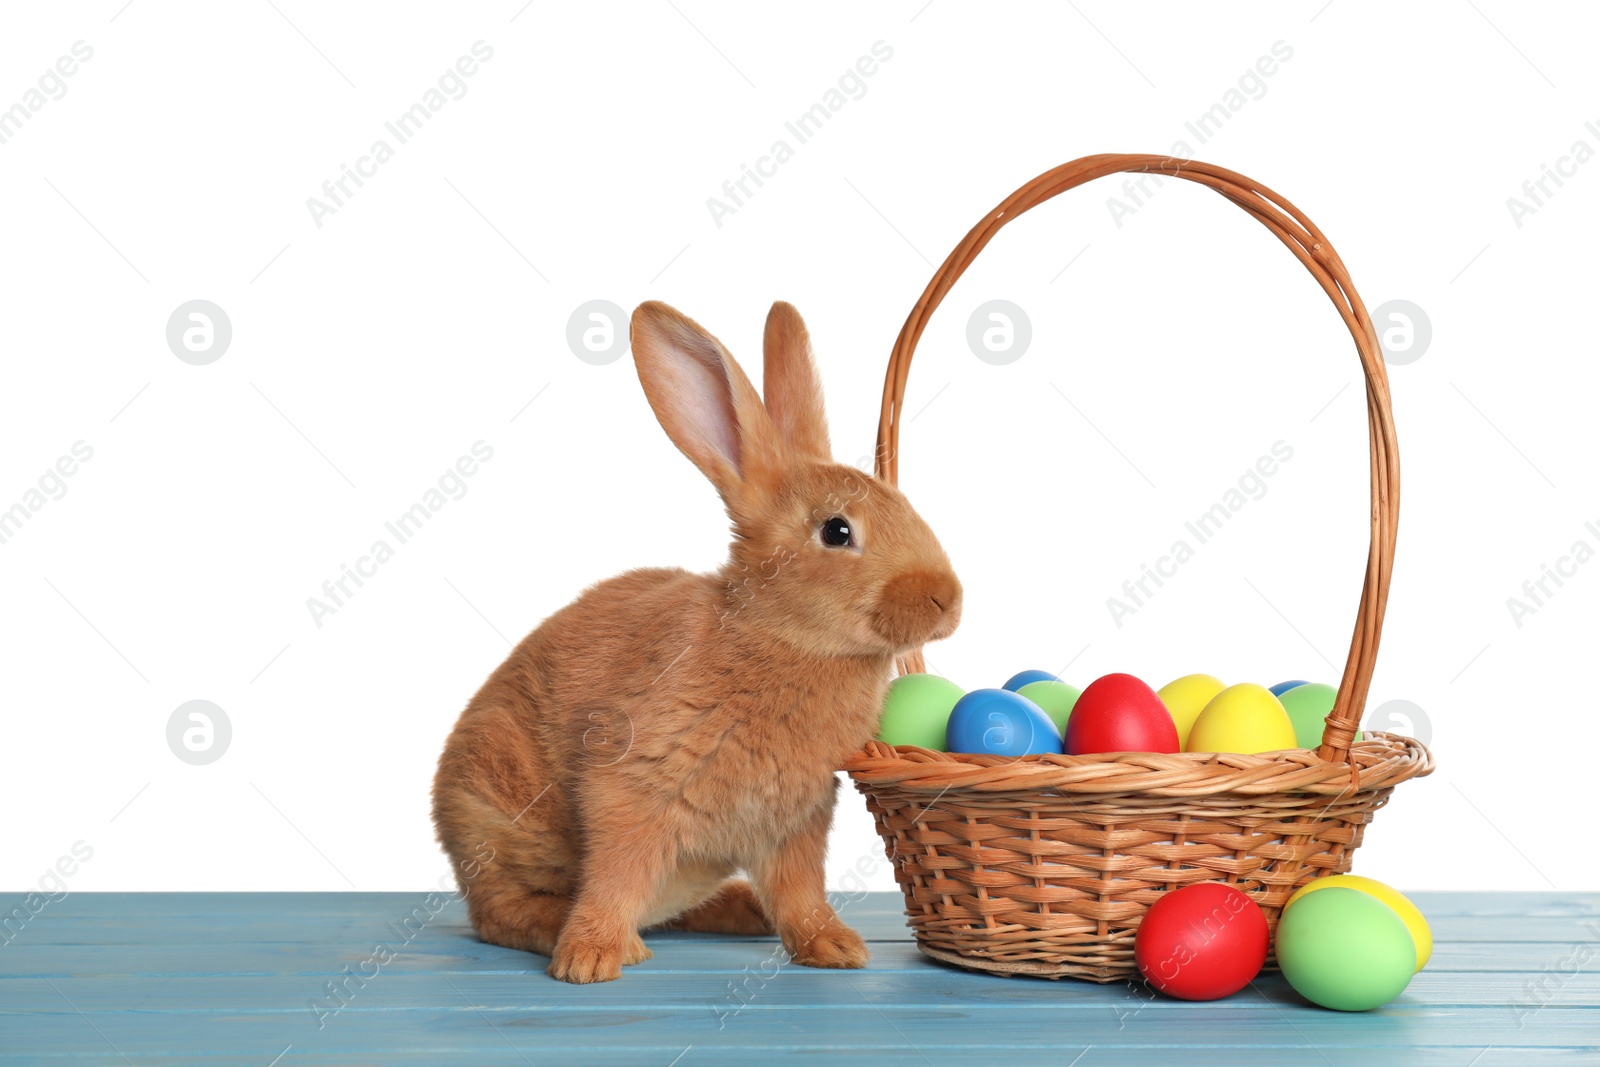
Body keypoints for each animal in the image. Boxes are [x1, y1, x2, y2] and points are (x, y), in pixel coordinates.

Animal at [428, 300, 960, 985]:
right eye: (837, 531)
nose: (947, 599)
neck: (781, 637)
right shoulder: (629, 788)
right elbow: (613, 878)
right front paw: (590, 959)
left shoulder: (795, 821)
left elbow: (801, 892)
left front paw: (835, 948)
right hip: (494, 821)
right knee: (502, 914)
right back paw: (579, 937)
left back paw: (741, 911)